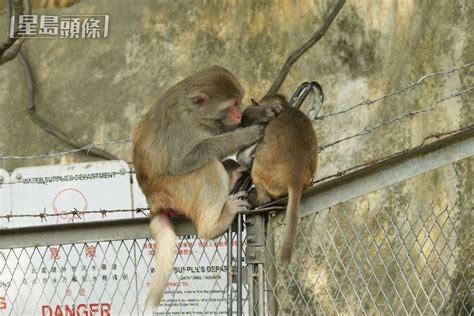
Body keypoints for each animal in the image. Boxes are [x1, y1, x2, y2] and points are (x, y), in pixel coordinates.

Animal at [133, 65, 280, 308]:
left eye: (238, 102)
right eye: (231, 105)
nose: (238, 114)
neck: (194, 113)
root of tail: (153, 202)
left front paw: (261, 112)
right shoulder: (181, 127)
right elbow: (183, 160)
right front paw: (244, 134)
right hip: (176, 191)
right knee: (208, 168)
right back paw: (214, 226)